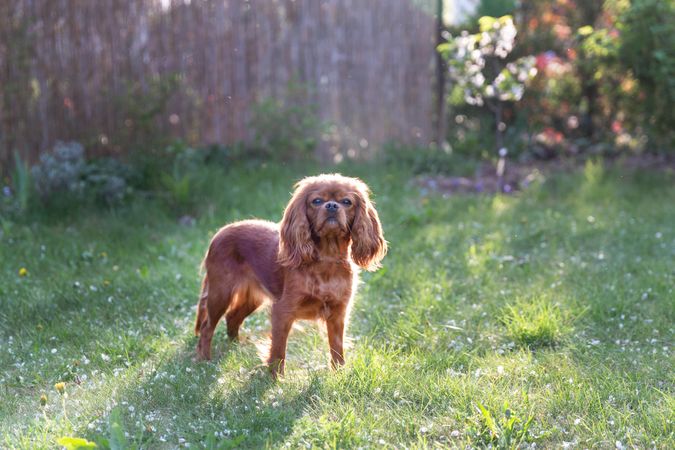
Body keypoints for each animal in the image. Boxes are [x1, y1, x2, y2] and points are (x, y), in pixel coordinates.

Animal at [193, 174, 388, 374]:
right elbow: (279, 350)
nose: (332, 205)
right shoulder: (283, 311)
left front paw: (338, 374)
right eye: (317, 201)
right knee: (207, 327)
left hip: (252, 299)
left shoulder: (338, 314)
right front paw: (275, 377)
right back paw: (204, 360)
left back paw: (235, 348)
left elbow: (337, 348)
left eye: (347, 202)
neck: (326, 258)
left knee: (232, 317)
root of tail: (219, 233)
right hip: (221, 294)